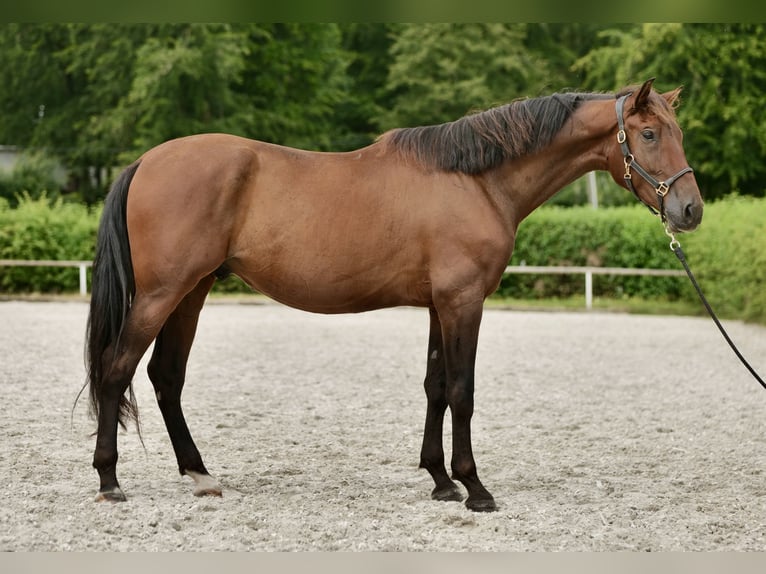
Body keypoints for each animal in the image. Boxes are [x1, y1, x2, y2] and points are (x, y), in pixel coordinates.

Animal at [84, 77, 704, 512]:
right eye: (650, 134)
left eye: (677, 134)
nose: (690, 210)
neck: (476, 180)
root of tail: (147, 160)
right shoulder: (463, 302)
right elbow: (461, 391)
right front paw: (475, 487)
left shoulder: (438, 304)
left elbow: (434, 387)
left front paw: (440, 481)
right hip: (163, 294)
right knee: (116, 370)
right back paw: (110, 480)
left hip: (191, 291)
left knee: (165, 377)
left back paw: (199, 475)